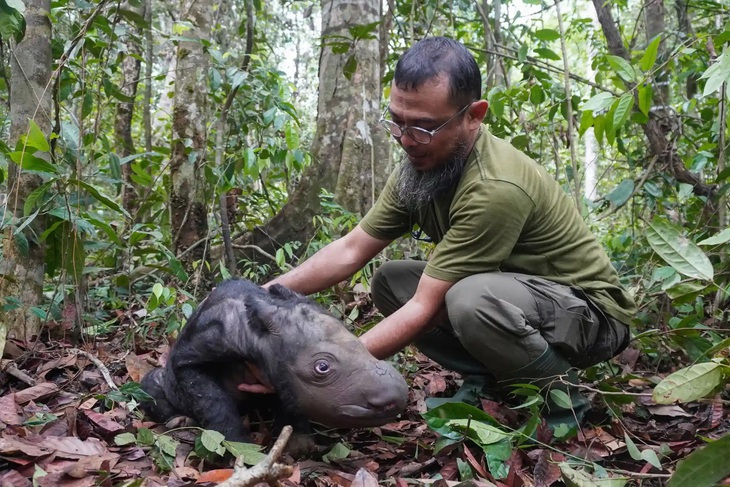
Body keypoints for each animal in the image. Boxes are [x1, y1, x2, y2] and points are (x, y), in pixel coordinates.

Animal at [139, 278, 406, 442]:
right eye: (322, 367)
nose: (397, 397)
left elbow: (289, 401)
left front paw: (300, 445)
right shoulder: (195, 352)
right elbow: (211, 399)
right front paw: (238, 447)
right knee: (150, 384)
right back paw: (178, 420)